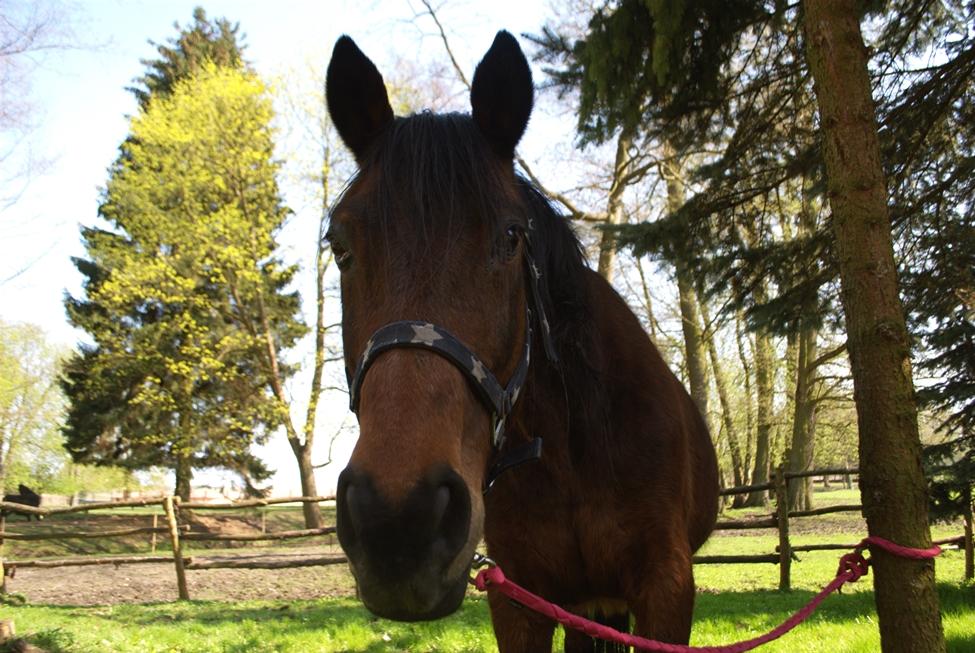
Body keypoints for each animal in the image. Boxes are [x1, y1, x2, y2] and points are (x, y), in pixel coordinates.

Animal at [326, 31, 719, 650]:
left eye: (511, 237)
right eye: (339, 245)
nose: (398, 524)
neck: (571, 447)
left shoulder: (666, 589)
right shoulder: (519, 600)